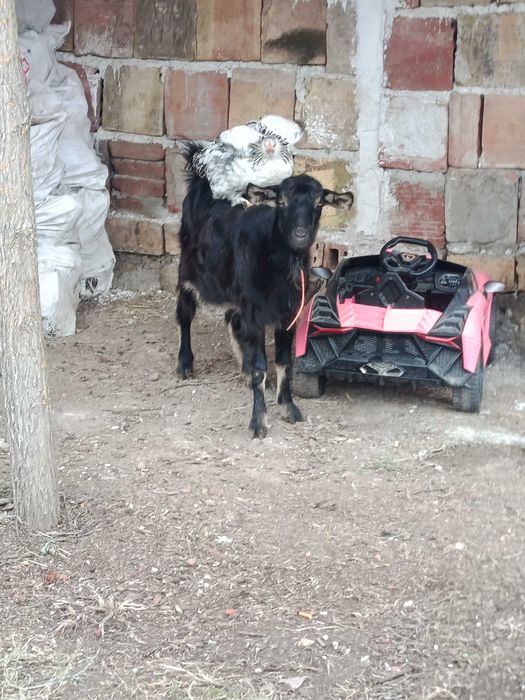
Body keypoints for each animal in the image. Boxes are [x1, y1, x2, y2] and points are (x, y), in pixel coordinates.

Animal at [176, 146, 354, 437]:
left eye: (319, 204)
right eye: (281, 201)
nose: (300, 234)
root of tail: (203, 181)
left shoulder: (288, 313)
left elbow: (284, 361)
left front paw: (288, 408)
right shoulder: (254, 312)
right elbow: (261, 367)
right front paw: (258, 422)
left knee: (231, 318)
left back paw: (242, 366)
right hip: (188, 269)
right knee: (185, 312)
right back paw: (184, 364)